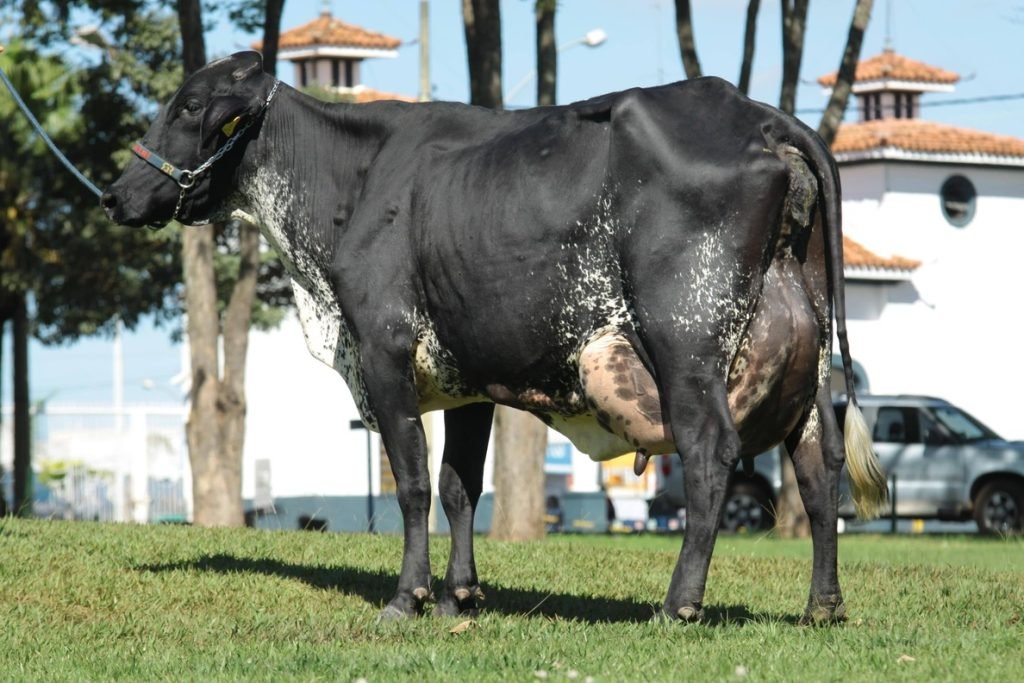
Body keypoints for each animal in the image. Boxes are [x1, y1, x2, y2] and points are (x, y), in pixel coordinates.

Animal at [105, 50, 888, 622]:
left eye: (188, 107)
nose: (114, 194)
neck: (349, 184)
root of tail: (755, 113)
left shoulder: (383, 351)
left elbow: (414, 483)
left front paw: (408, 596)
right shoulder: (467, 377)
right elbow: (460, 486)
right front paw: (462, 594)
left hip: (687, 344)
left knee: (711, 454)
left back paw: (680, 604)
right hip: (805, 363)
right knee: (817, 470)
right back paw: (822, 605)